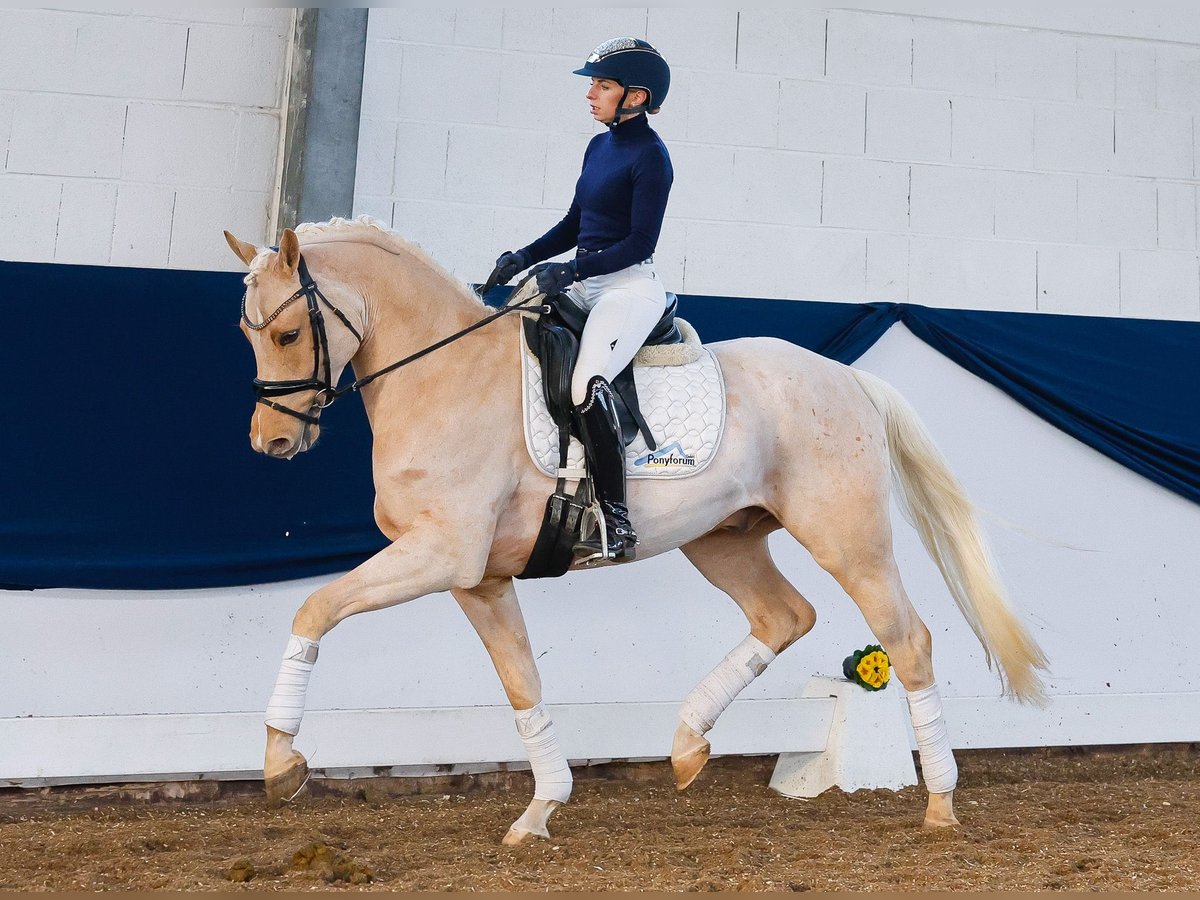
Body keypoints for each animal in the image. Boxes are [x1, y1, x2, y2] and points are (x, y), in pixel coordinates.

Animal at [225, 217, 1051, 844]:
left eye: (290, 334)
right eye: (247, 331)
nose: (271, 442)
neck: (442, 377)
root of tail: (846, 377)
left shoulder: (439, 555)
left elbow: (314, 610)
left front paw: (280, 763)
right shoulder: (478, 578)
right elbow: (522, 685)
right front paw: (540, 811)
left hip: (849, 541)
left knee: (907, 641)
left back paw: (940, 804)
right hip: (722, 540)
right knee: (785, 616)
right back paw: (687, 746)